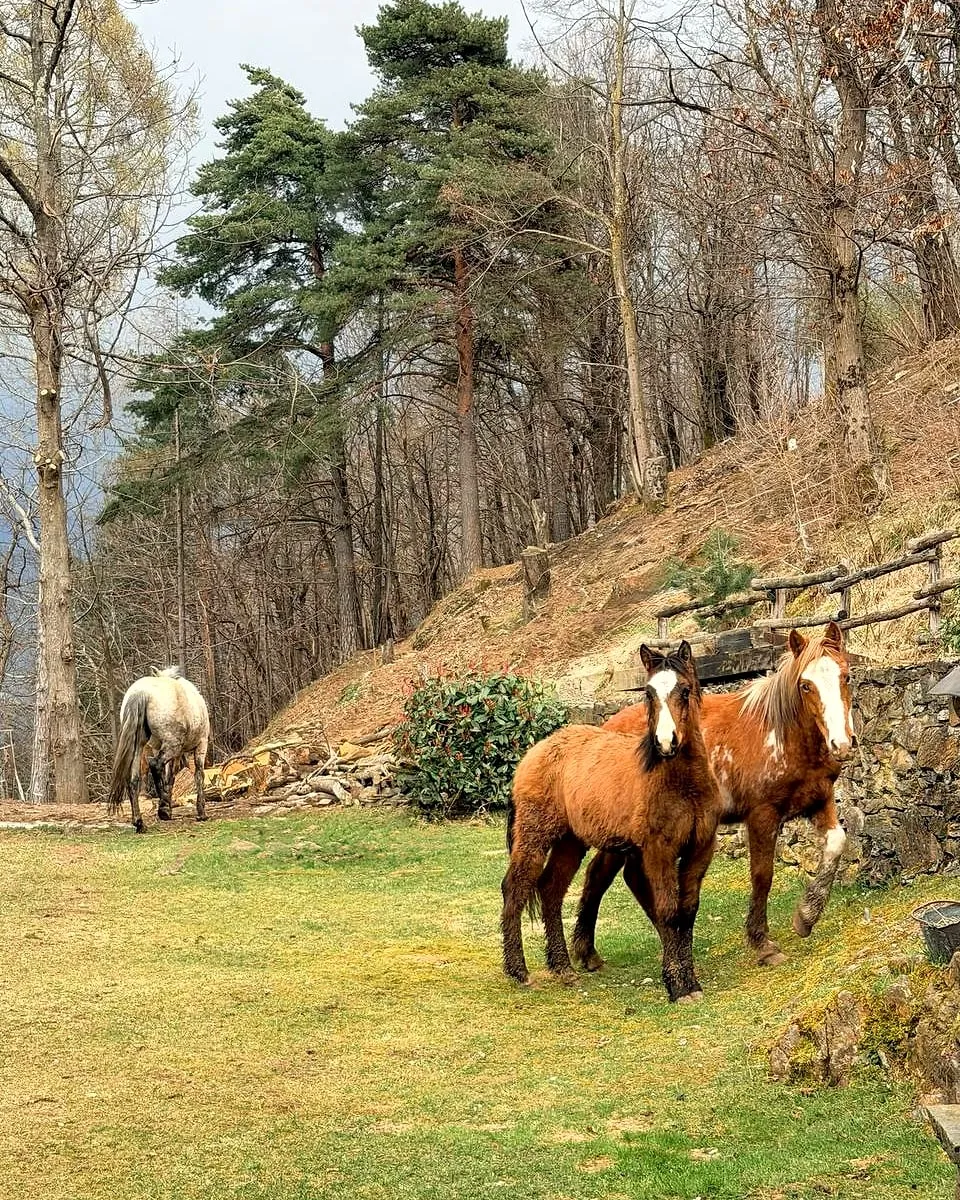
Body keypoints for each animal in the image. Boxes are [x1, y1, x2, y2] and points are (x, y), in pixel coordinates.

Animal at [107, 667, 210, 833]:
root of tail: (142, 693)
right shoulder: (201, 745)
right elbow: (198, 775)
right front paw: (201, 813)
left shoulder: (161, 750)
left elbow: (170, 777)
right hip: (173, 745)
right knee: (155, 765)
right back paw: (163, 808)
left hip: (140, 746)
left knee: (134, 778)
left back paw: (140, 822)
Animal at [501, 641, 720, 1002]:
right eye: (648, 693)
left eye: (685, 690)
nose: (666, 743)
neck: (682, 784)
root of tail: (536, 751)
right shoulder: (658, 852)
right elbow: (668, 911)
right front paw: (677, 986)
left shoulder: (699, 849)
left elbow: (687, 913)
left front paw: (691, 982)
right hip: (535, 837)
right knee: (515, 888)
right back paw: (518, 970)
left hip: (571, 843)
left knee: (550, 890)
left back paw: (562, 967)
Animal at [570, 621, 855, 972]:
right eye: (805, 685)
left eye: (846, 677)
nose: (841, 744)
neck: (781, 735)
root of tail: (605, 729)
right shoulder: (762, 816)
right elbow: (762, 875)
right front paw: (762, 943)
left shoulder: (819, 799)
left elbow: (837, 844)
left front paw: (806, 916)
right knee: (604, 875)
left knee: (615, 875)